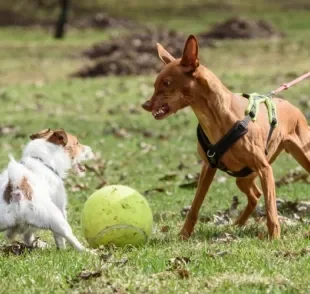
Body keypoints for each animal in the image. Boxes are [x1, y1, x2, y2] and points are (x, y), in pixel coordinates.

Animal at [142, 35, 308, 240]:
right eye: (155, 84)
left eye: (166, 83)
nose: (145, 105)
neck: (215, 117)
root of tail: (292, 107)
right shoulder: (208, 167)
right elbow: (195, 206)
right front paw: (183, 235)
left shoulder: (265, 169)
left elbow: (271, 209)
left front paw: (274, 238)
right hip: (244, 176)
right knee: (255, 195)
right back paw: (238, 224)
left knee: (259, 195)